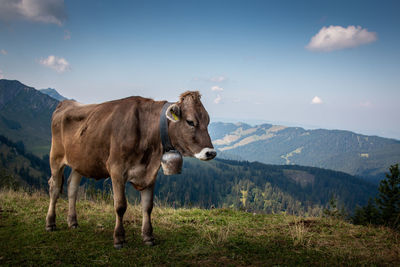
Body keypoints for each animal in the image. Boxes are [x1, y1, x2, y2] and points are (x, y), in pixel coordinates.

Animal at [45, 91, 217, 248]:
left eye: (208, 121)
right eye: (190, 122)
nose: (211, 152)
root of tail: (65, 103)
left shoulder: (150, 174)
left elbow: (148, 206)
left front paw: (148, 236)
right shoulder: (116, 169)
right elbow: (120, 206)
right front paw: (119, 238)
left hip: (80, 162)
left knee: (72, 187)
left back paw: (73, 222)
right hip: (56, 156)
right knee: (54, 187)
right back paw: (50, 223)